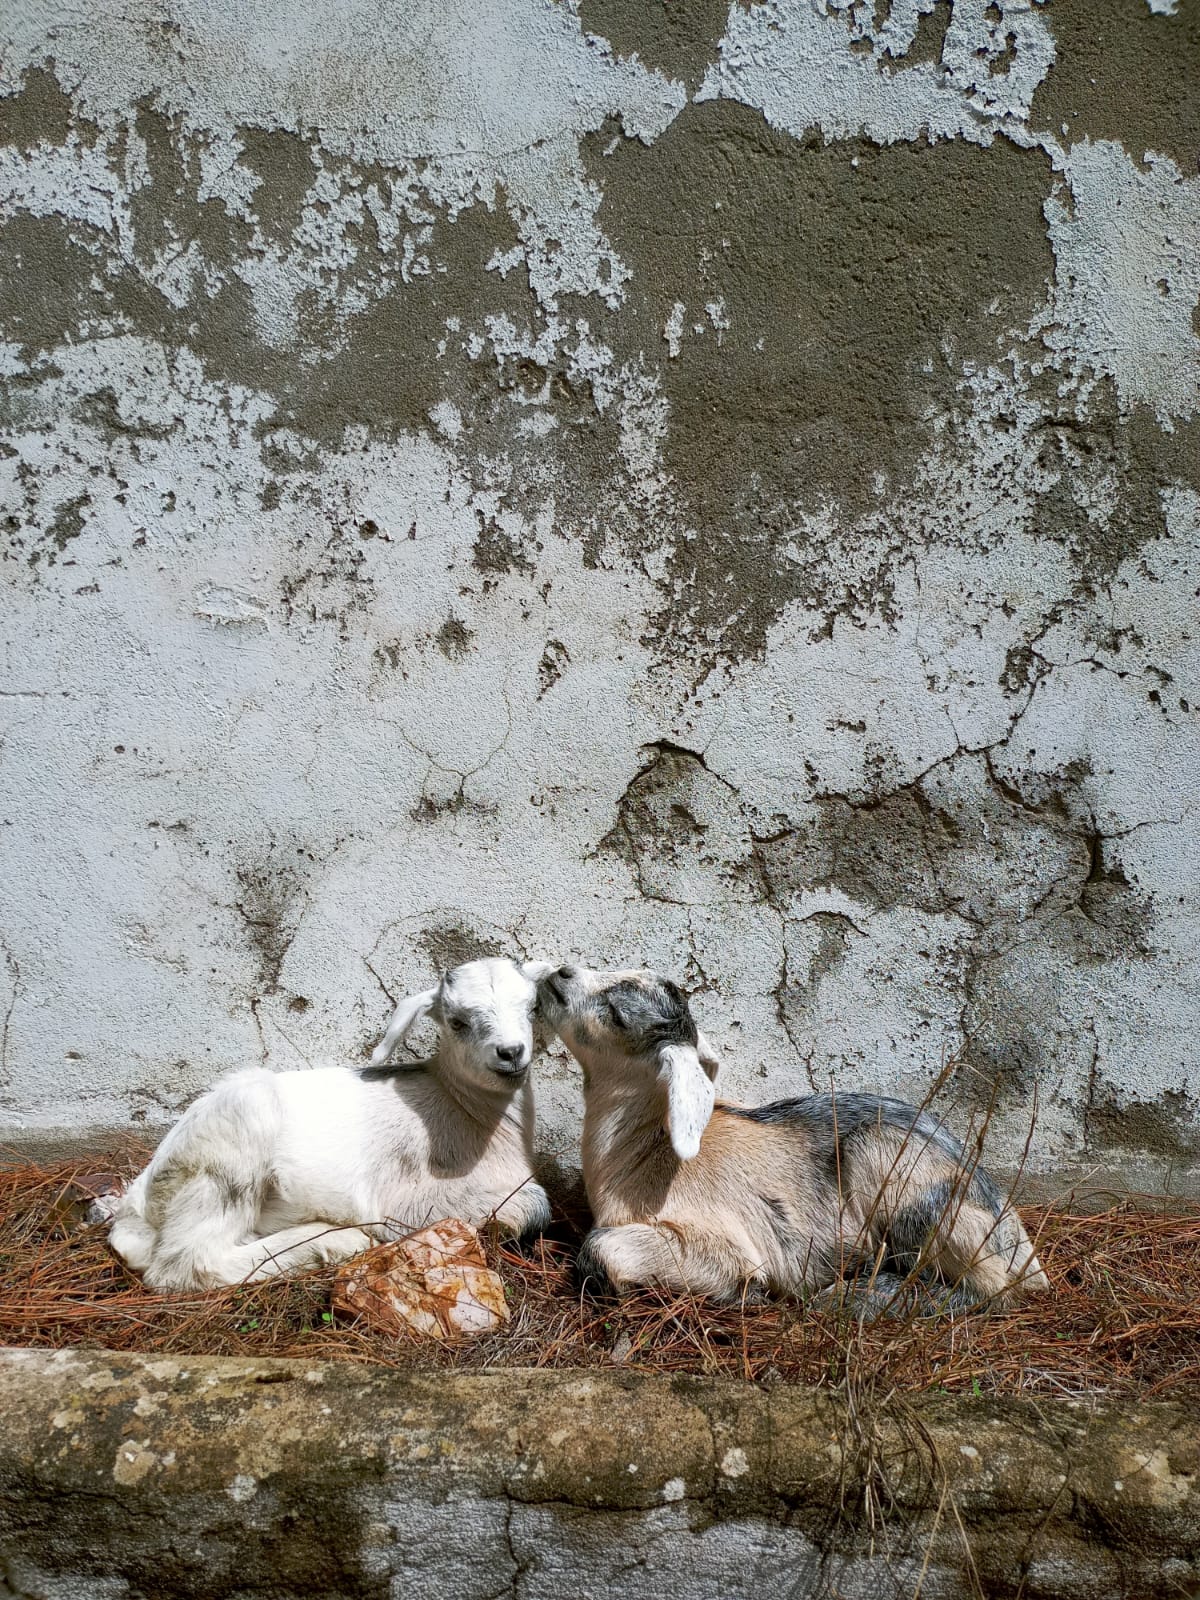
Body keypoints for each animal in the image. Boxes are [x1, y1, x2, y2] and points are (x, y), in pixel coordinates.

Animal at [106, 957, 553, 1290]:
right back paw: (338, 1240)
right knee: (187, 1263)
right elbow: (536, 1204)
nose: (510, 1052)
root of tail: (139, 1201)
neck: (463, 1108)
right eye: (457, 1021)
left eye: (531, 1008)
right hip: (230, 1147)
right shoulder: (406, 1201)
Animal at [538, 964, 1049, 1311]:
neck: (644, 1155)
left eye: (617, 1014)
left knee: (990, 1288)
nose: (560, 974)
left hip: (900, 1178)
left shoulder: (723, 1247)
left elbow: (600, 1247)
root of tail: (1014, 1236)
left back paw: (852, 1295)